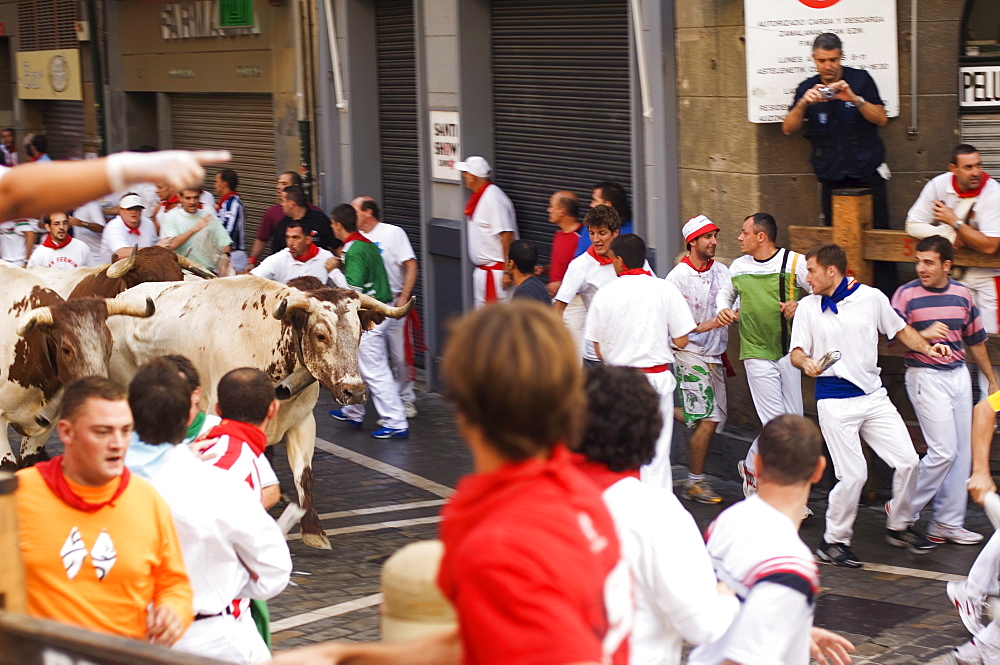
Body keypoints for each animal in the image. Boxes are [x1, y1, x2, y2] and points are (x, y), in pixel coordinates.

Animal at [105, 274, 410, 548]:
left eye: (359, 335)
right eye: (321, 335)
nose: (354, 391)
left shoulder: (302, 422)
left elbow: (304, 475)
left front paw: (313, 530)